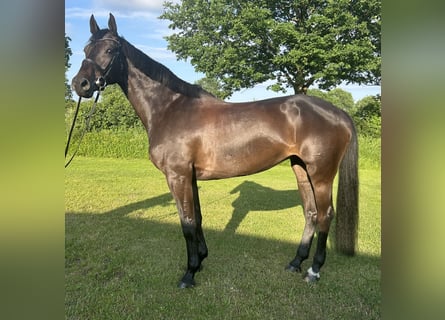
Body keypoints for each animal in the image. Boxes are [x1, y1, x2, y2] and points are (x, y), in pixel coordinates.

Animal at [72, 14, 358, 288]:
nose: (80, 84)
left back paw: (314, 271)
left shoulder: (177, 176)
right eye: (86, 48)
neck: (170, 108)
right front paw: (200, 260)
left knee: (325, 215)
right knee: (310, 213)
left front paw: (189, 274)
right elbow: (197, 217)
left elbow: (186, 223)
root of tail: (339, 113)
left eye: (110, 49)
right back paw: (296, 262)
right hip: (300, 169)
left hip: (321, 175)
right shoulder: (190, 177)